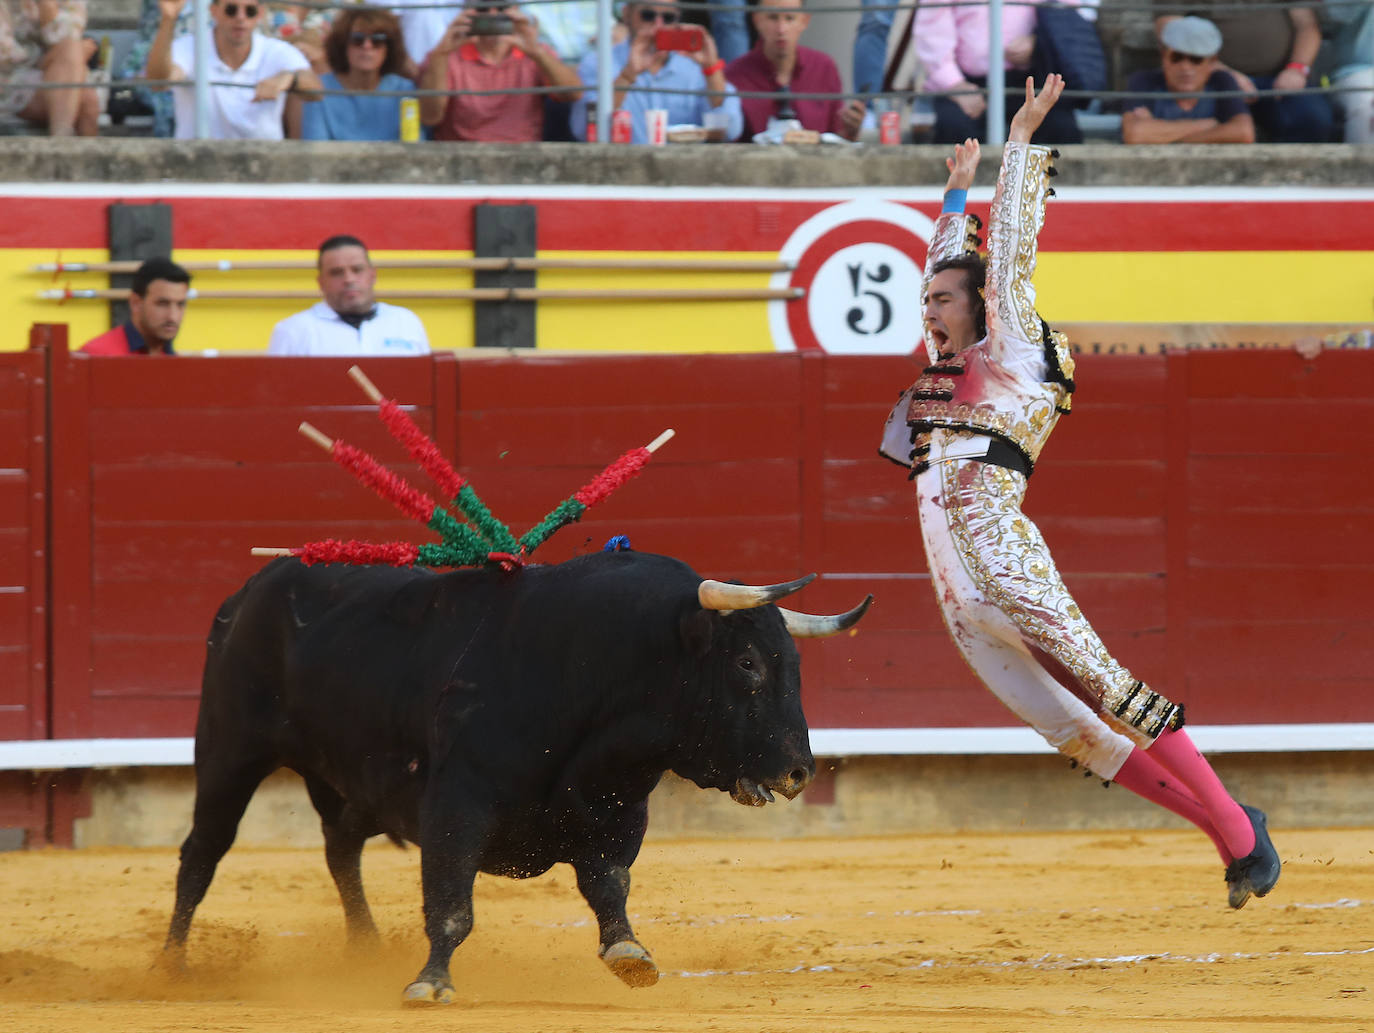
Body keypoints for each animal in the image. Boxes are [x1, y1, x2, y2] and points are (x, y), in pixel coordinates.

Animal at [160, 552, 868, 1005]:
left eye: (793, 663)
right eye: (747, 663)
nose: (799, 770)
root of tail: (253, 587)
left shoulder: (617, 813)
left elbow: (610, 887)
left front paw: (630, 955)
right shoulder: (456, 808)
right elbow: (450, 904)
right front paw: (430, 984)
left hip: (339, 778)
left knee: (340, 850)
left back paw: (365, 950)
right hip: (229, 752)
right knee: (202, 853)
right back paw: (172, 965)